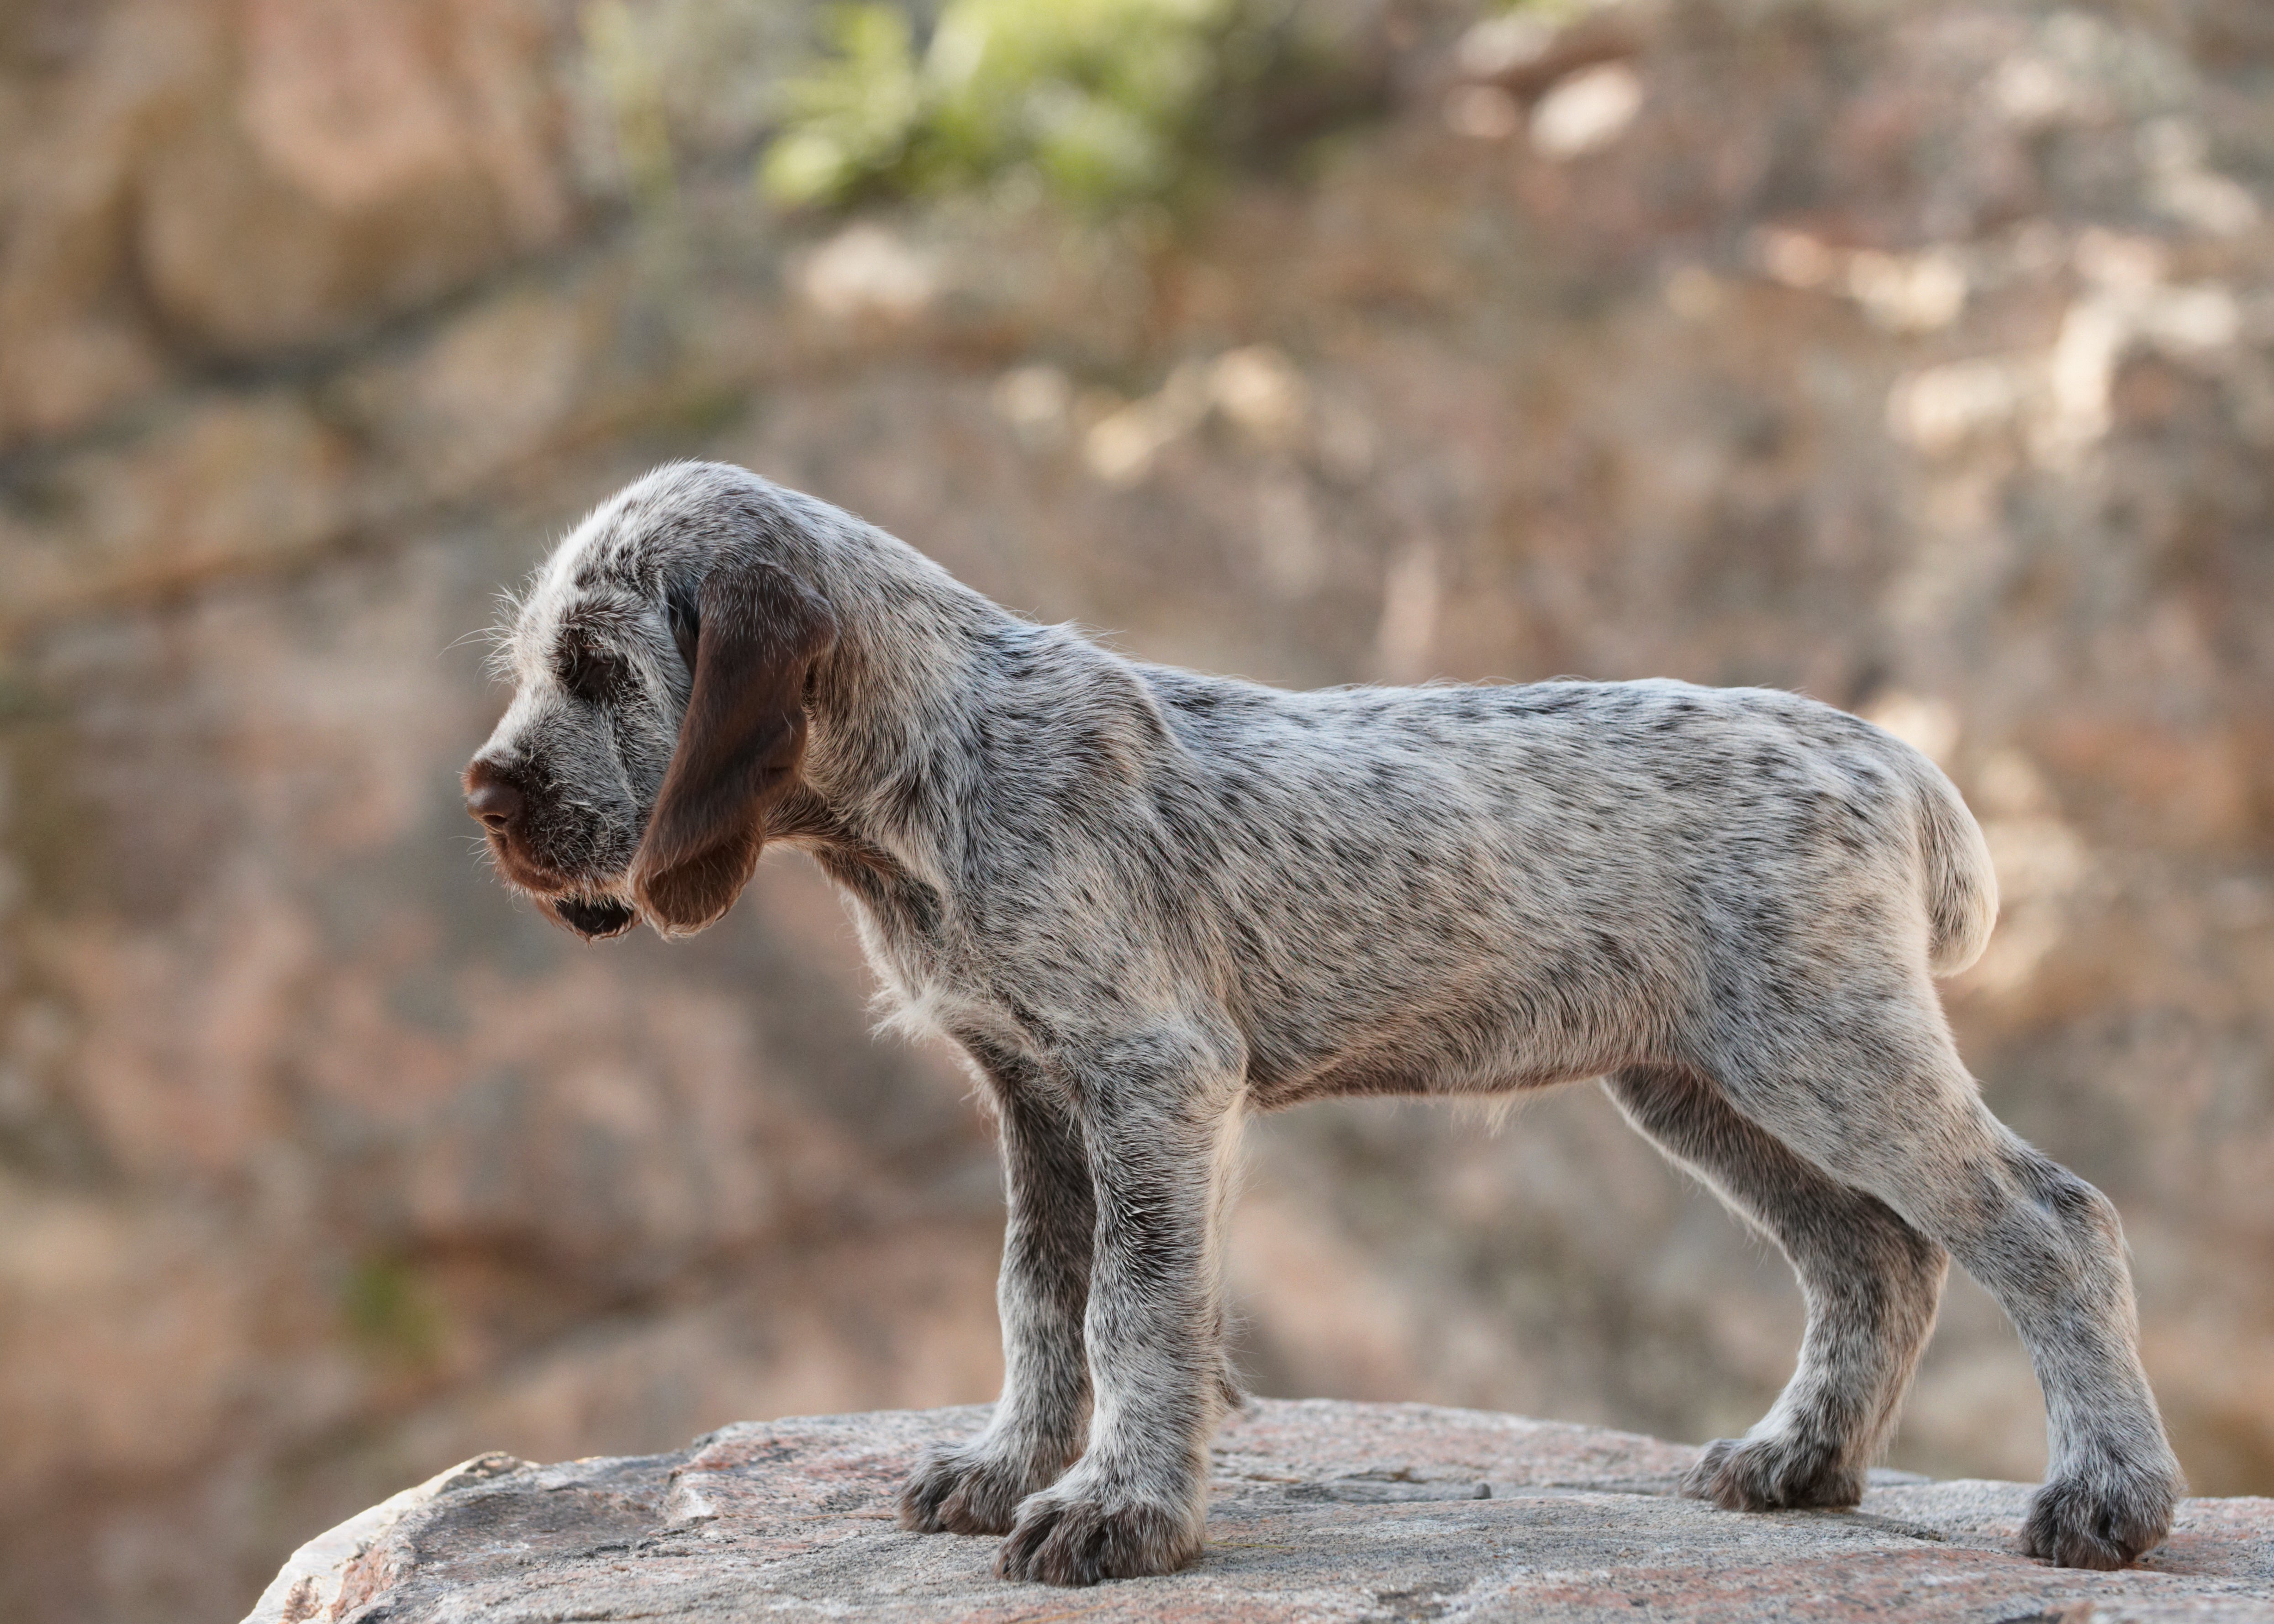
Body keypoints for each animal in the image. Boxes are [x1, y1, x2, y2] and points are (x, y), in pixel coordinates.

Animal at [461, 459, 2183, 1583]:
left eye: (602, 668)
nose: (485, 793)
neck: (942, 764)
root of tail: (1881, 752)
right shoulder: (1032, 1089)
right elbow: (1035, 1298)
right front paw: (1013, 1469)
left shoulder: (1151, 1078)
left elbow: (1133, 1309)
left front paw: (1120, 1511)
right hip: (1697, 1082)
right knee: (1873, 1254)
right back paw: (1800, 1458)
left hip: (1820, 1047)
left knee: (2047, 1221)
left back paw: (2104, 1498)